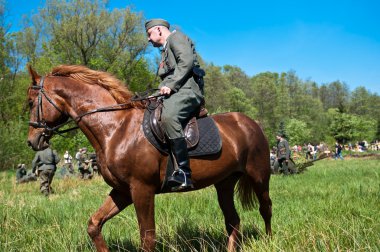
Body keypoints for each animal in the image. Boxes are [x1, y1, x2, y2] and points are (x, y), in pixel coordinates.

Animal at [25, 64, 272, 250]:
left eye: (31, 102)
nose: (32, 141)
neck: (116, 128)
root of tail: (251, 123)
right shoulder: (123, 191)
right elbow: (94, 224)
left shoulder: (142, 189)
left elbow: (147, 237)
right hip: (224, 184)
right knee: (233, 221)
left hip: (259, 177)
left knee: (265, 208)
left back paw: (269, 240)